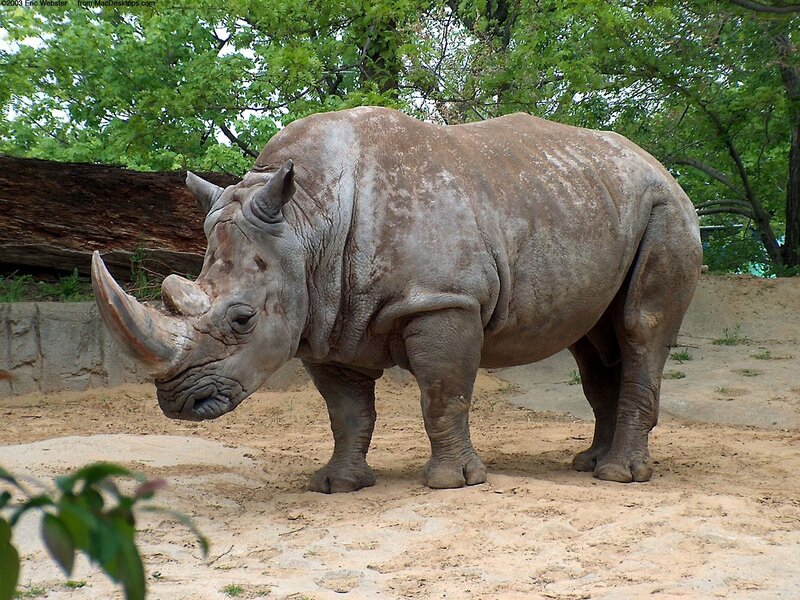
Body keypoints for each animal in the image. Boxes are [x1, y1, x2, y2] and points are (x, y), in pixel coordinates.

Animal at [92, 107, 702, 492]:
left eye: (242, 319)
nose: (178, 403)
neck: (306, 221)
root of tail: (660, 166)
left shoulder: (442, 300)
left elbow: (442, 394)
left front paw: (452, 484)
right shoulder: (322, 315)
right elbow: (346, 411)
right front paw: (337, 485)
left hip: (667, 211)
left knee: (640, 327)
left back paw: (618, 477)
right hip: (589, 203)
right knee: (594, 343)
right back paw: (589, 464)